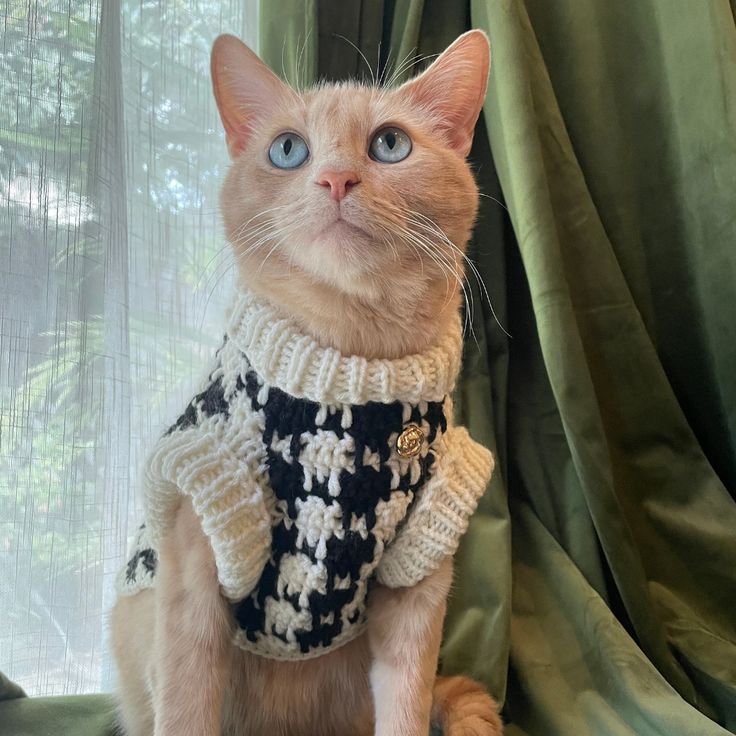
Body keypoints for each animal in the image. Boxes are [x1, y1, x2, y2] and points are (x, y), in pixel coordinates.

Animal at [112, 28, 504, 736]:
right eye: (288, 149)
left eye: (390, 144)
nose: (336, 178)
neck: (351, 366)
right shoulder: (196, 550)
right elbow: (186, 701)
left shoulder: (420, 567)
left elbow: (407, 704)